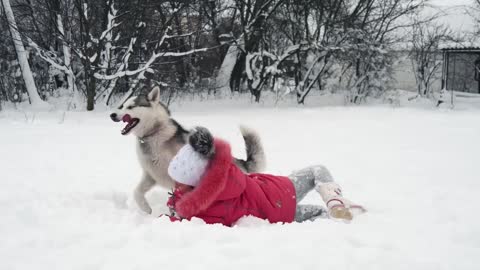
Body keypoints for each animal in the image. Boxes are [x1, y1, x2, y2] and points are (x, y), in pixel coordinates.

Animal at [109, 87, 266, 214]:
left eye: (131, 107)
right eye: (122, 106)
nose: (112, 115)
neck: (154, 133)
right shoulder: (150, 175)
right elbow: (137, 192)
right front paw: (146, 209)